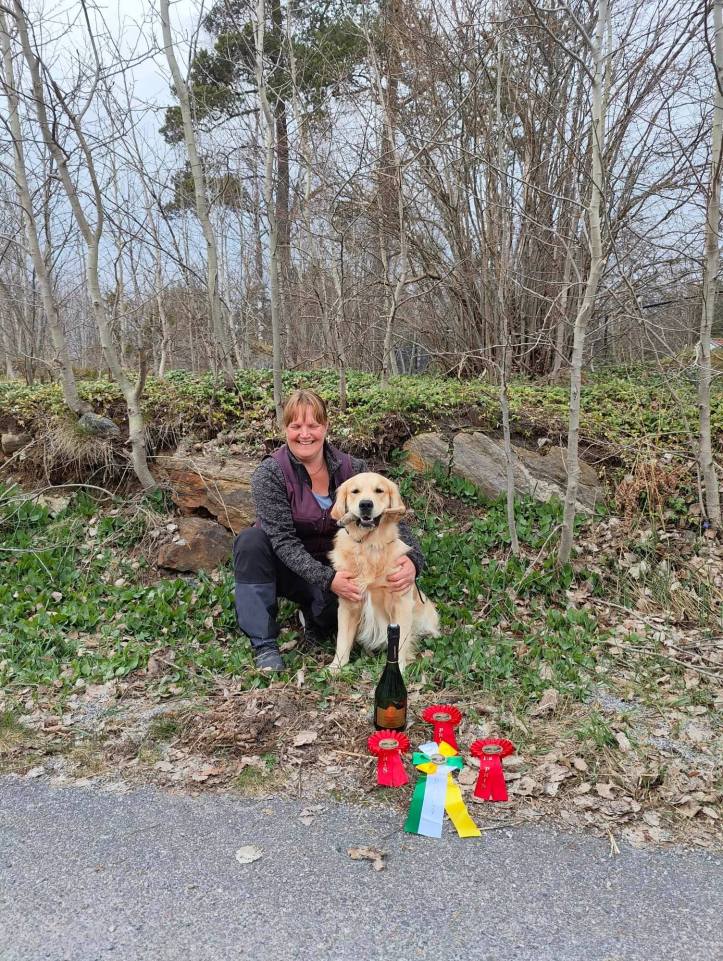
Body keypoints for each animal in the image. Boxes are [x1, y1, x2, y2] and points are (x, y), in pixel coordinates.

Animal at [328, 472, 439, 672]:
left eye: (379, 490)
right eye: (355, 491)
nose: (365, 504)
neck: (369, 545)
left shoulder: (401, 602)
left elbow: (401, 641)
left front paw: (399, 668)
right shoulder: (348, 602)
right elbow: (342, 639)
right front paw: (336, 666)